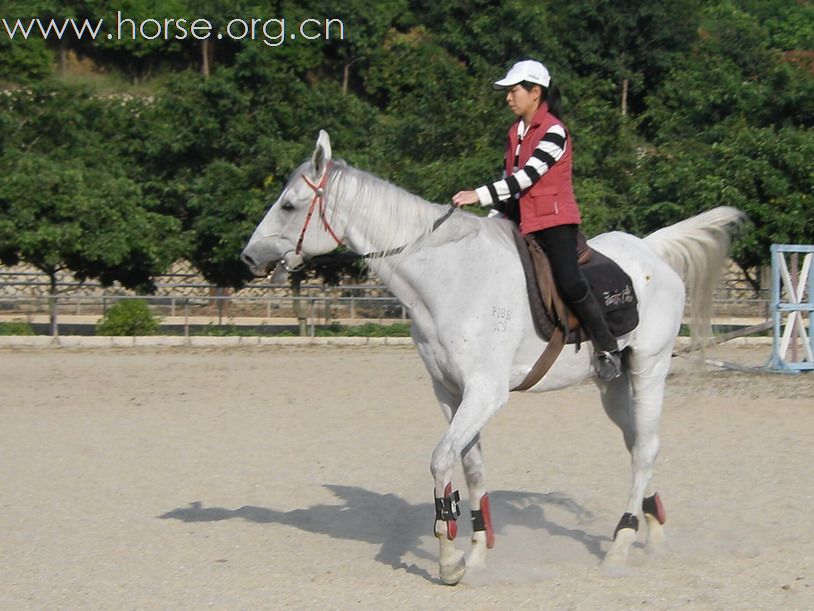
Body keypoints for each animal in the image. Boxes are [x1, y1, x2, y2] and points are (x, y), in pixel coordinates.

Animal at [241, 130, 744, 584]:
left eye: (289, 206)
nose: (248, 257)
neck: (450, 275)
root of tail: (649, 251)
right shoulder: (450, 392)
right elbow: (471, 467)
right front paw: (477, 553)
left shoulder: (484, 393)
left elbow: (441, 460)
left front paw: (449, 560)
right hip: (614, 385)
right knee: (639, 444)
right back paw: (652, 531)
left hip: (649, 370)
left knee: (645, 449)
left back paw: (621, 543)